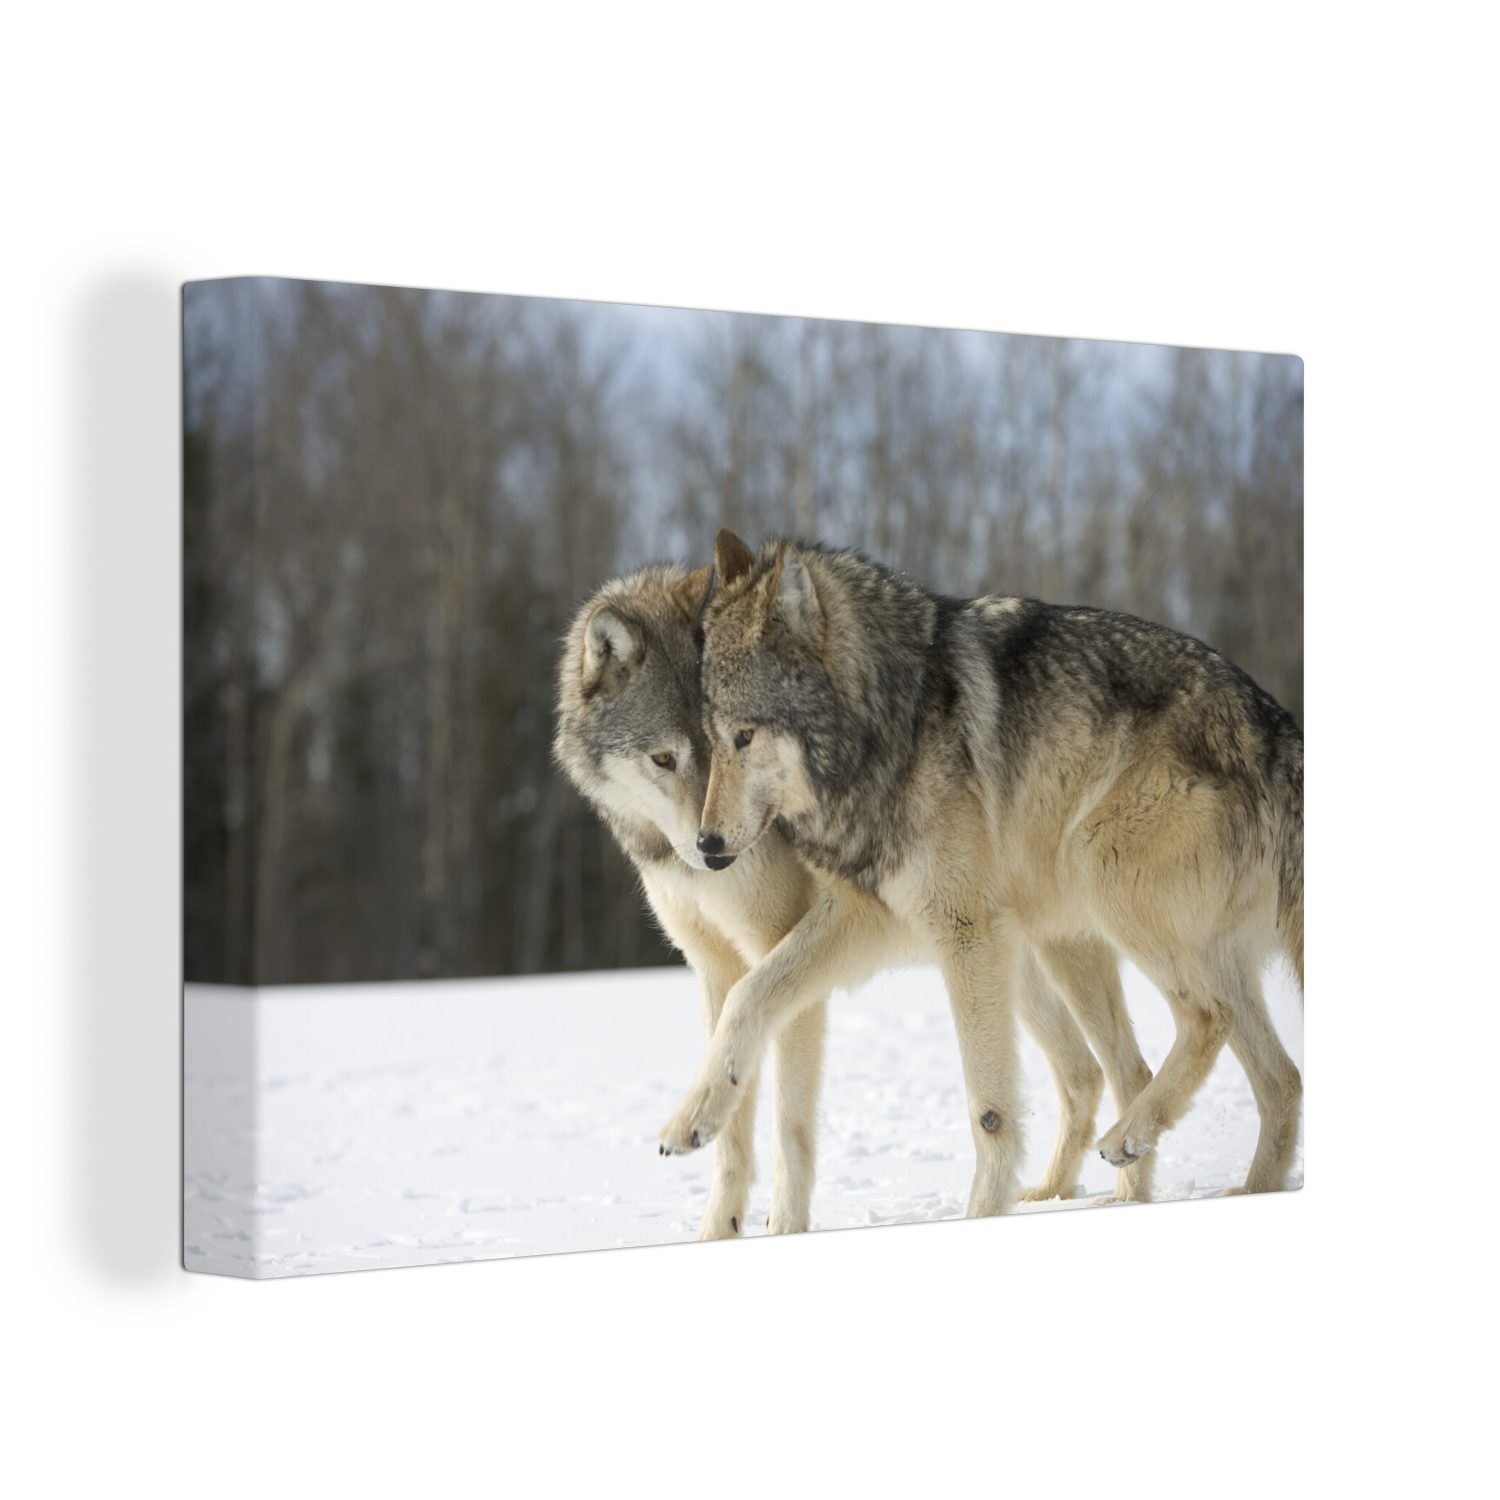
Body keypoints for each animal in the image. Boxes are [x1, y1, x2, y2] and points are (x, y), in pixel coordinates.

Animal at [557, 563, 1157, 1238]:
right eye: (665, 758)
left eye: (739, 746)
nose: (714, 851)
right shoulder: (715, 966)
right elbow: (733, 1129)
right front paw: (718, 1231)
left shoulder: (792, 948)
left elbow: (786, 1122)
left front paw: (782, 1230)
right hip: (1007, 962)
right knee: (1083, 1072)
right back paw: (1055, 1193)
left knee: (1120, 1068)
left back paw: (1123, 1197)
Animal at [658, 531, 1303, 1213]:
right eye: (711, 739)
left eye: (745, 736)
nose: (707, 845)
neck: (892, 724)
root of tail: (1275, 724)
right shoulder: (864, 916)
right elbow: (748, 995)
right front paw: (693, 1118)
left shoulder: (966, 931)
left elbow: (989, 1111)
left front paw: (981, 1212)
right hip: (1078, 943)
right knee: (1264, 1077)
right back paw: (1216, 1190)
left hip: (1098, 872)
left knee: (1206, 1020)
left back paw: (1129, 1140)